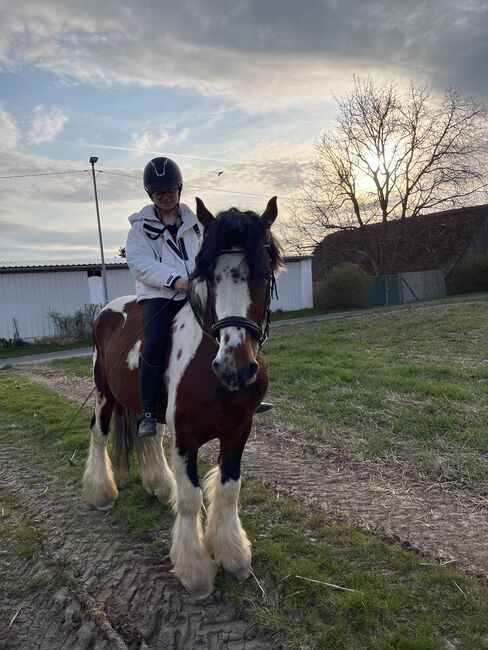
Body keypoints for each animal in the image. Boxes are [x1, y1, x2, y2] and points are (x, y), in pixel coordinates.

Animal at [82, 194, 284, 596]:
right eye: (211, 276)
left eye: (264, 273)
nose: (235, 368)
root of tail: (108, 310)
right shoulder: (186, 438)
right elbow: (191, 500)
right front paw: (196, 573)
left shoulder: (239, 432)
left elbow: (229, 490)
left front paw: (234, 557)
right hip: (104, 394)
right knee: (99, 434)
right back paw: (101, 494)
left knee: (149, 436)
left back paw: (159, 487)